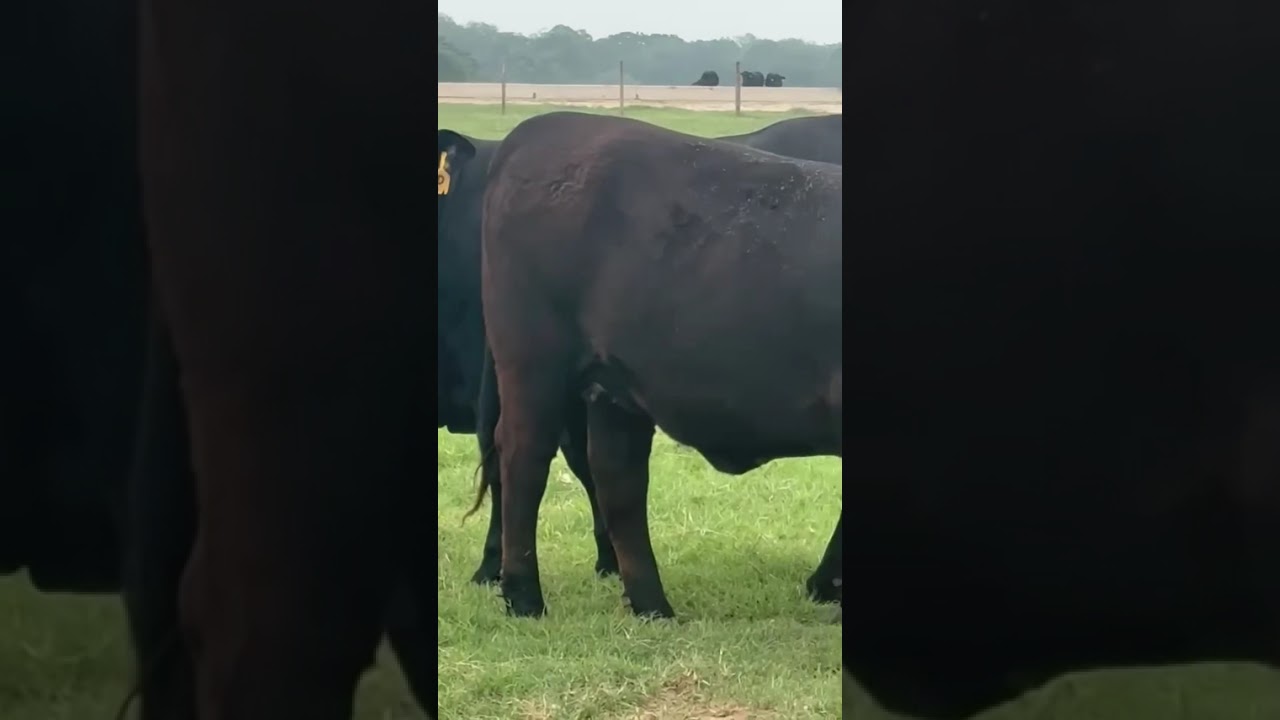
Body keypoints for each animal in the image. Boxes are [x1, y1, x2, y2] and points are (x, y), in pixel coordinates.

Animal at [446, 110, 843, 621]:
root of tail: (545, 126)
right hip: (534, 364)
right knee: (524, 459)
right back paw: (524, 597)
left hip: (611, 388)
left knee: (617, 478)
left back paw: (651, 605)